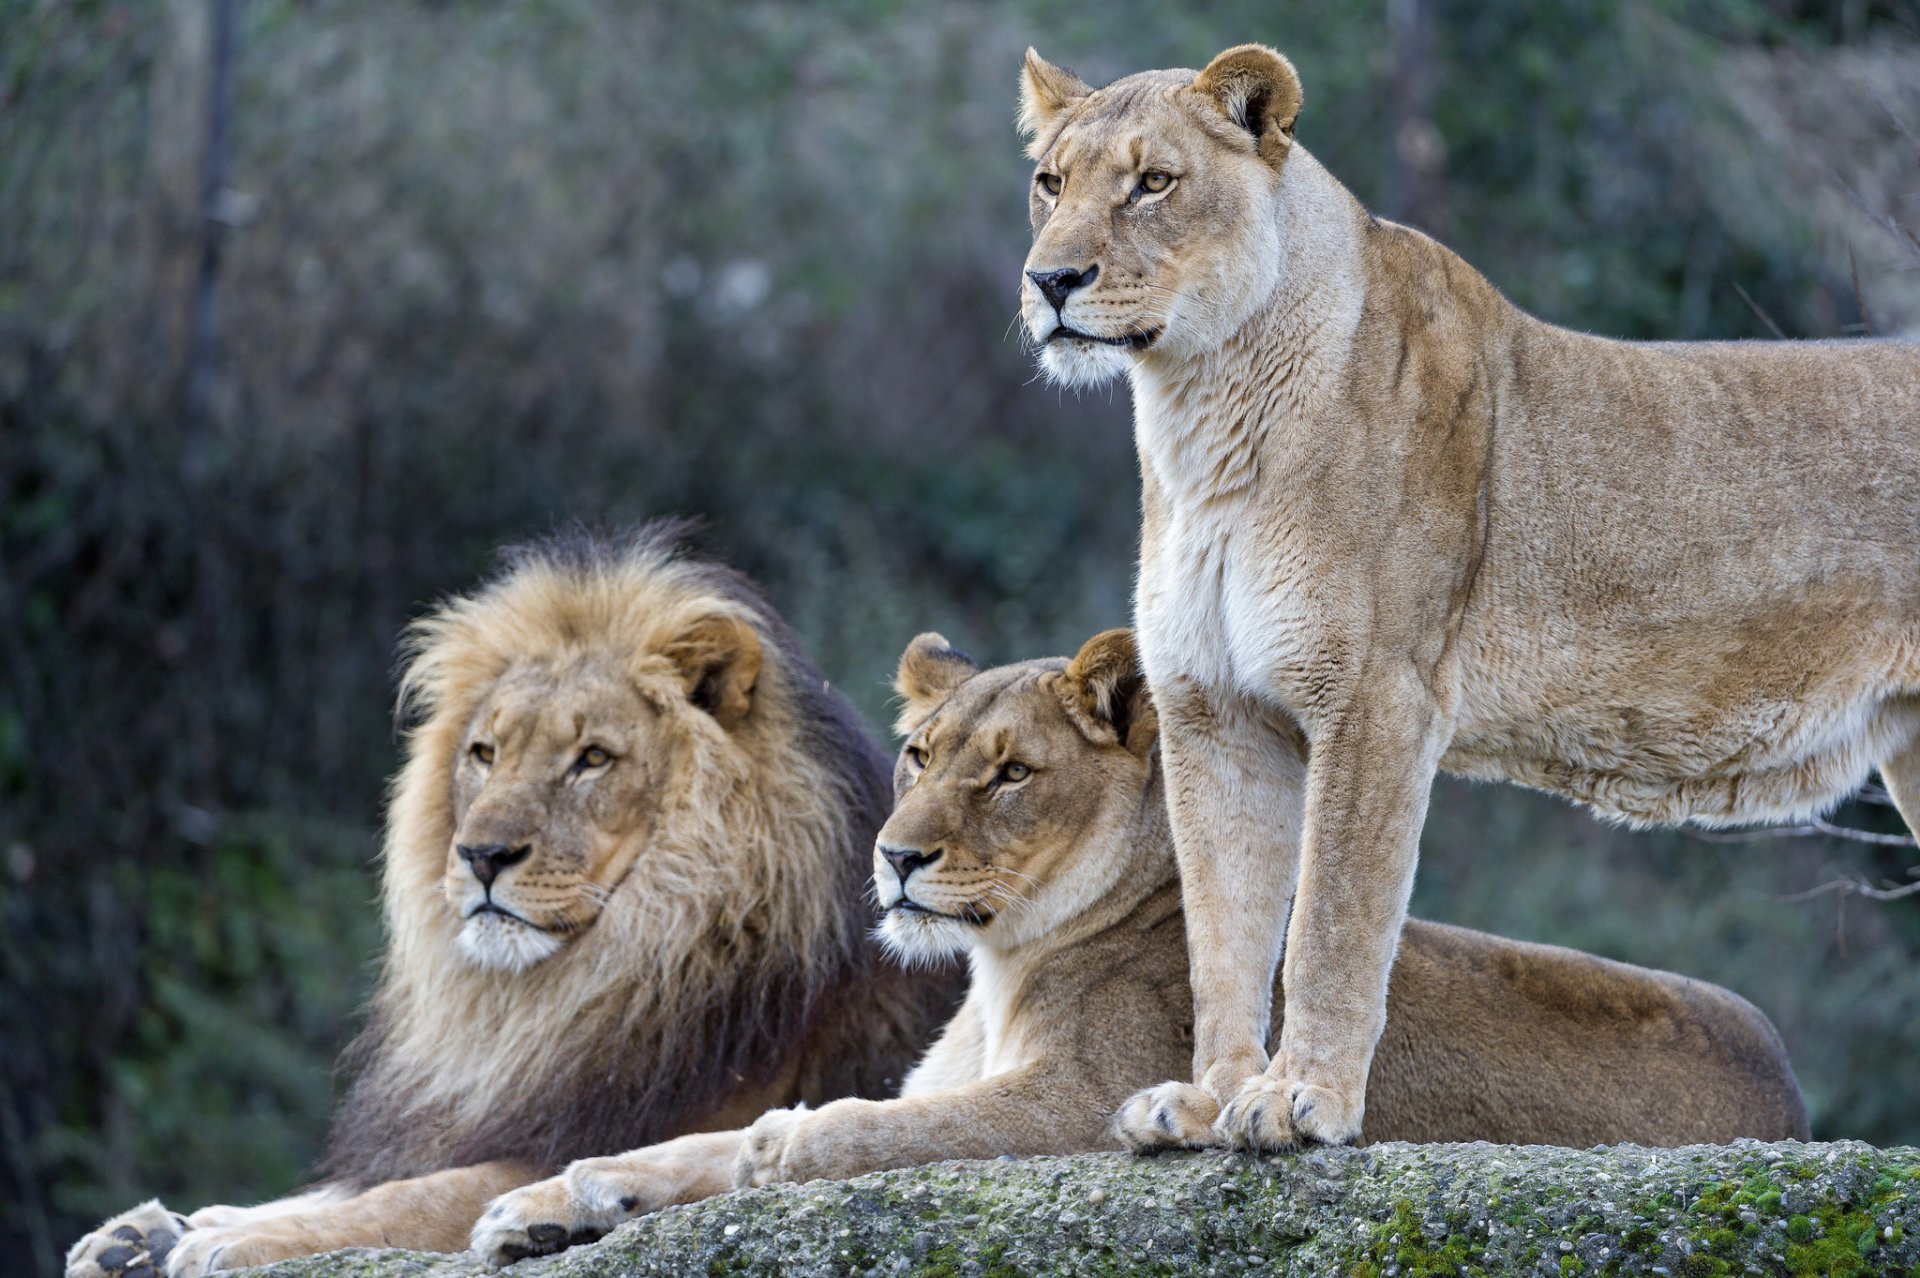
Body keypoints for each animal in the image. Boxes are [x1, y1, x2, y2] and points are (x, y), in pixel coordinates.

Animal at [64, 526, 960, 1277]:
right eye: (484, 753)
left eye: (593, 758)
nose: (481, 856)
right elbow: (361, 1184)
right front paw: (146, 1233)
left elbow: (410, 1196)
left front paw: (220, 1241)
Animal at [467, 628, 1806, 1268]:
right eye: (918, 754)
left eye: (1009, 775)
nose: (895, 858)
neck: (1000, 967)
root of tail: (1790, 1093)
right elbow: (698, 1141)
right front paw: (548, 1205)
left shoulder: (1074, 1099)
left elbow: (816, 1134)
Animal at [1014, 43, 1920, 1154]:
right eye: (1050, 182)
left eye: (1153, 183)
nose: (1051, 279)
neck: (1204, 414)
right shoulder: (1214, 713)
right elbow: (1222, 933)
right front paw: (1205, 1100)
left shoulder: (1376, 696)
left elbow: (1330, 921)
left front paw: (1299, 1099)